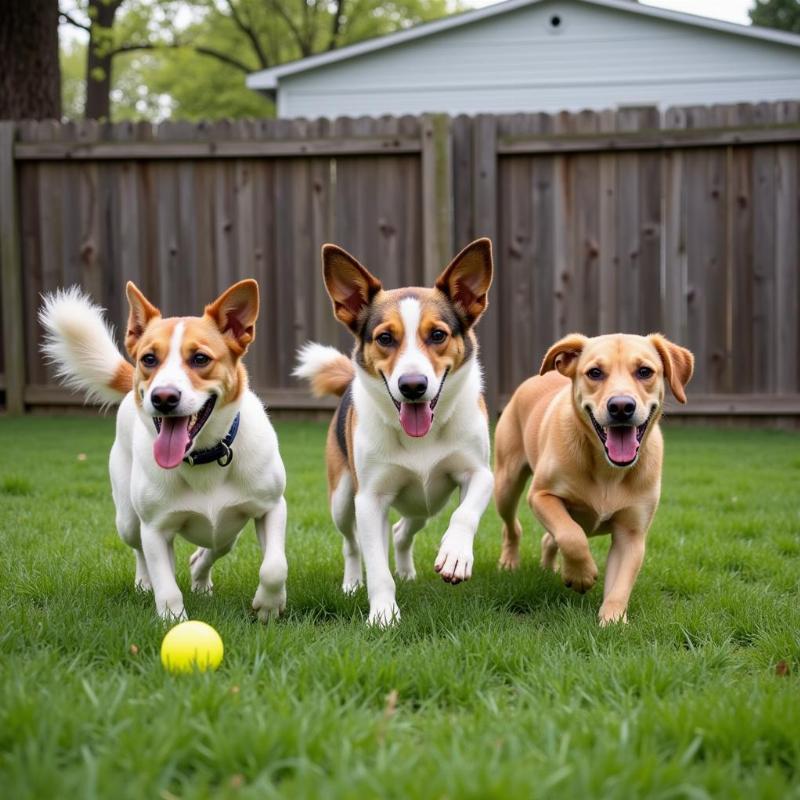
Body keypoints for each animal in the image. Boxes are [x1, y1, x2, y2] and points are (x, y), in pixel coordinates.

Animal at [38, 282, 288, 624]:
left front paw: (269, 605)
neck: (203, 458)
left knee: (214, 547)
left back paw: (200, 578)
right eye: (149, 359)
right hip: (128, 520)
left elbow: (275, 567)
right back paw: (144, 582)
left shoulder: (272, 507)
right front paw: (173, 620)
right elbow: (166, 585)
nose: (163, 397)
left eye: (200, 358)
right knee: (140, 550)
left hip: (231, 528)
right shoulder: (155, 528)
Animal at [294, 241, 494, 628]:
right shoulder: (369, 499)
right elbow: (375, 565)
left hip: (427, 504)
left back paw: (408, 571)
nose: (412, 386)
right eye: (385, 338)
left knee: (403, 531)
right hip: (342, 499)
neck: (421, 436)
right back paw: (352, 583)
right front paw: (383, 614)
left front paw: (455, 555)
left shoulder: (480, 473)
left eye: (438, 335)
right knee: (352, 544)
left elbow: (465, 513)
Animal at [490, 332, 692, 624]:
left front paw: (613, 620)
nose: (621, 406)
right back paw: (510, 561)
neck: (608, 470)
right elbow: (571, 536)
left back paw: (549, 567)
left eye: (644, 371)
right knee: (513, 526)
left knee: (548, 538)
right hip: (506, 485)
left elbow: (620, 583)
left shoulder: (631, 533)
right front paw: (581, 575)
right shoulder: (541, 496)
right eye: (595, 372)